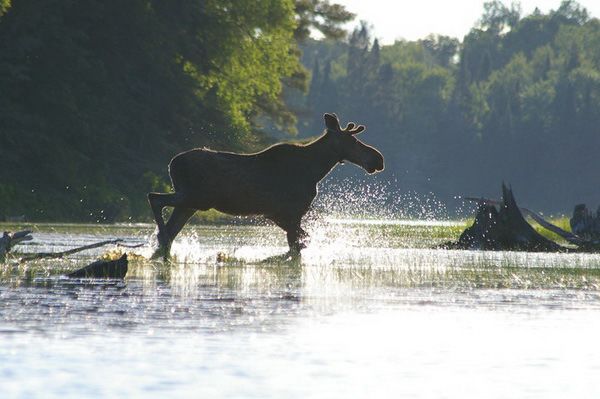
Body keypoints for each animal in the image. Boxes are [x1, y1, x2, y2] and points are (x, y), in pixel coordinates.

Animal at [148, 113, 386, 260]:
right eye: (353, 141)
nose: (378, 159)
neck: (315, 170)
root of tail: (172, 164)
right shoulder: (288, 211)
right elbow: (297, 244)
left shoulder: (276, 213)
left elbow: (302, 240)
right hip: (195, 197)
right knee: (154, 198)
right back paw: (162, 240)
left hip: (191, 203)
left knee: (169, 225)